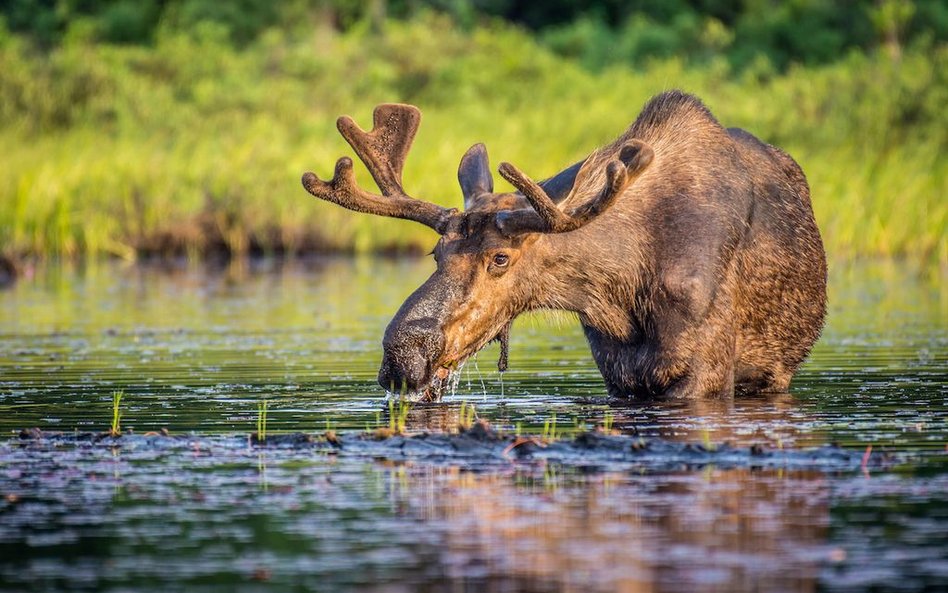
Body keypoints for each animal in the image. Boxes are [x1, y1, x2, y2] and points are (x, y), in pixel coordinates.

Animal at [302, 90, 824, 400]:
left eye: (500, 258)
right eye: (436, 254)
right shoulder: (618, 372)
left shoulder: (704, 372)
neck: (623, 289)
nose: (403, 355)